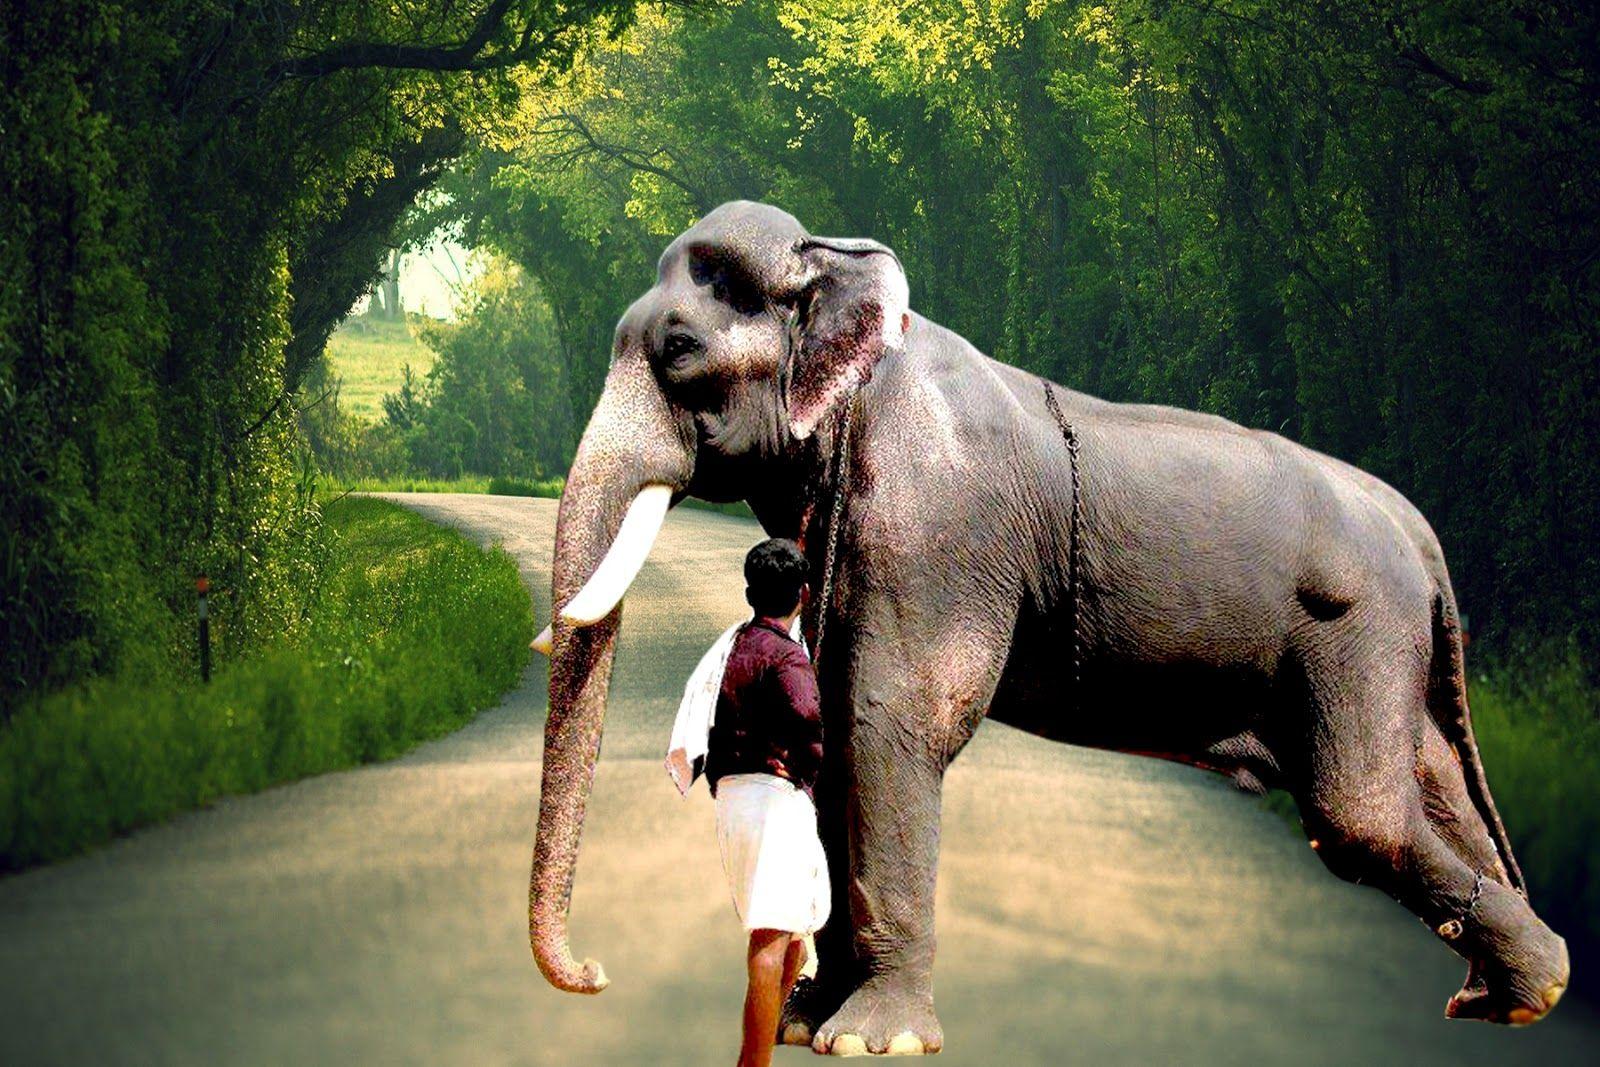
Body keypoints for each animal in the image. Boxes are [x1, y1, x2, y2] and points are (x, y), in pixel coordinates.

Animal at [526, 200, 1569, 1054]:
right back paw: (1511, 996)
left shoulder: (932, 525)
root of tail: (1414, 525)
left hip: (1356, 634)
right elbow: (829, 720)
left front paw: (871, 1039)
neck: (835, 266)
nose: (597, 973)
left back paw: (1528, 986)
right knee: (1433, 788)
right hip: (1392, 654)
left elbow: (888, 723)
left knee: (1361, 817)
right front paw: (805, 1020)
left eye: (679, 353)